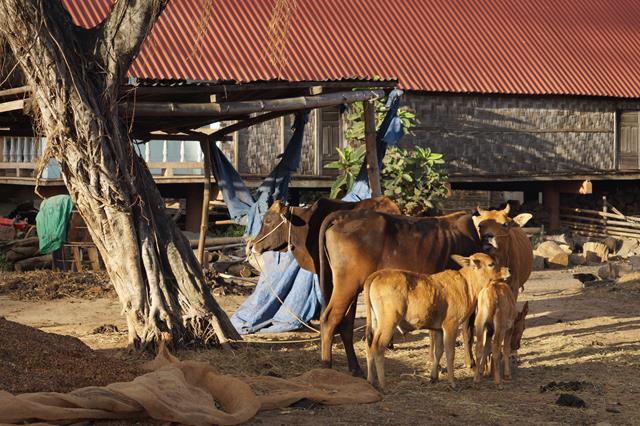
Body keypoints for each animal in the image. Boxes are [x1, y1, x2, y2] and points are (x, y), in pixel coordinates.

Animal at [318, 209, 482, 376]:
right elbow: (467, 331)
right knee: (329, 319)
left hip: (353, 288)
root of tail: (345, 214)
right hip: (347, 285)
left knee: (346, 323)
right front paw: (471, 363)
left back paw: (355, 368)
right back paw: (326, 366)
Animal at [364, 253, 510, 390]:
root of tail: (376, 275)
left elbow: (438, 352)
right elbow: (450, 353)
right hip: (388, 323)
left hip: (375, 323)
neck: (466, 285)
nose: (507, 269)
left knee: (369, 346)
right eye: (491, 264)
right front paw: (452, 382)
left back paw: (371, 380)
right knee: (378, 347)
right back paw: (383, 384)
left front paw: (433, 377)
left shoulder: (439, 329)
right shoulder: (451, 326)